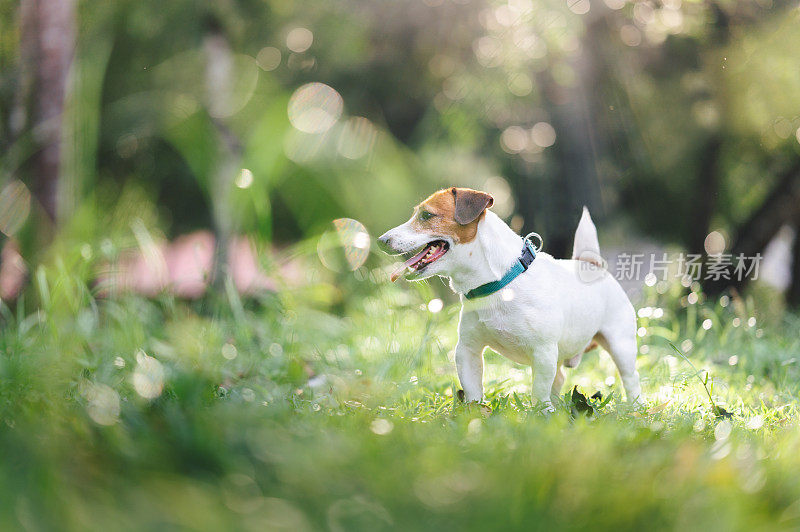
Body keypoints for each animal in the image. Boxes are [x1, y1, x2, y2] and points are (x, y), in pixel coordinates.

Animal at [376, 189, 644, 410]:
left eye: (426, 215)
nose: (380, 241)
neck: (499, 284)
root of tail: (590, 264)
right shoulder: (467, 350)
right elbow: (473, 390)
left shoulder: (543, 351)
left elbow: (538, 392)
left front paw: (541, 415)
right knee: (559, 378)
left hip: (621, 345)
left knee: (630, 378)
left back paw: (635, 408)